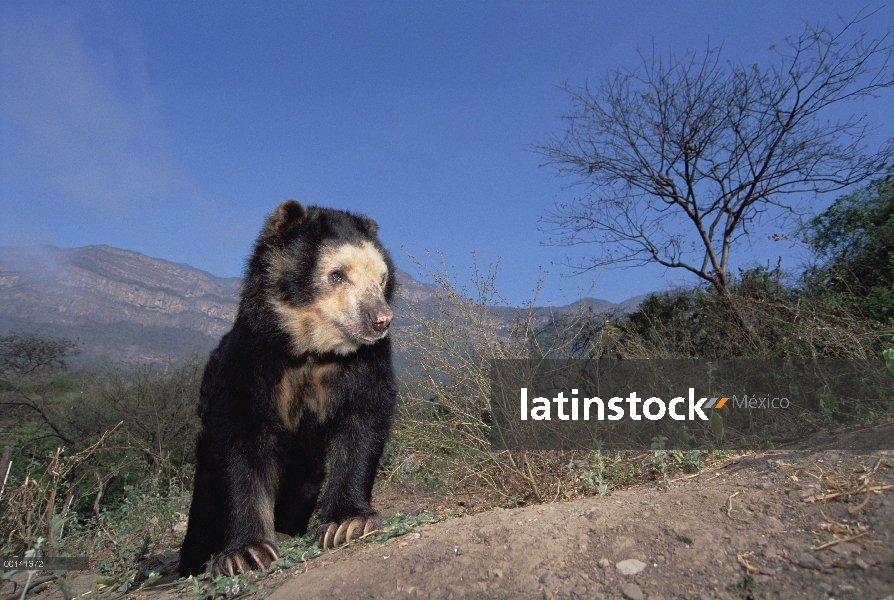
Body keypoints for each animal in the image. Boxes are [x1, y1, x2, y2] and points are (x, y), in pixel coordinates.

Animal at [178, 200, 396, 576]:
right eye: (337, 274)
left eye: (381, 279)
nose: (380, 319)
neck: (310, 348)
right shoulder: (251, 365)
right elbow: (243, 447)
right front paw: (246, 554)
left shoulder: (367, 364)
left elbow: (362, 423)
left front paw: (347, 524)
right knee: (206, 492)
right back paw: (193, 559)